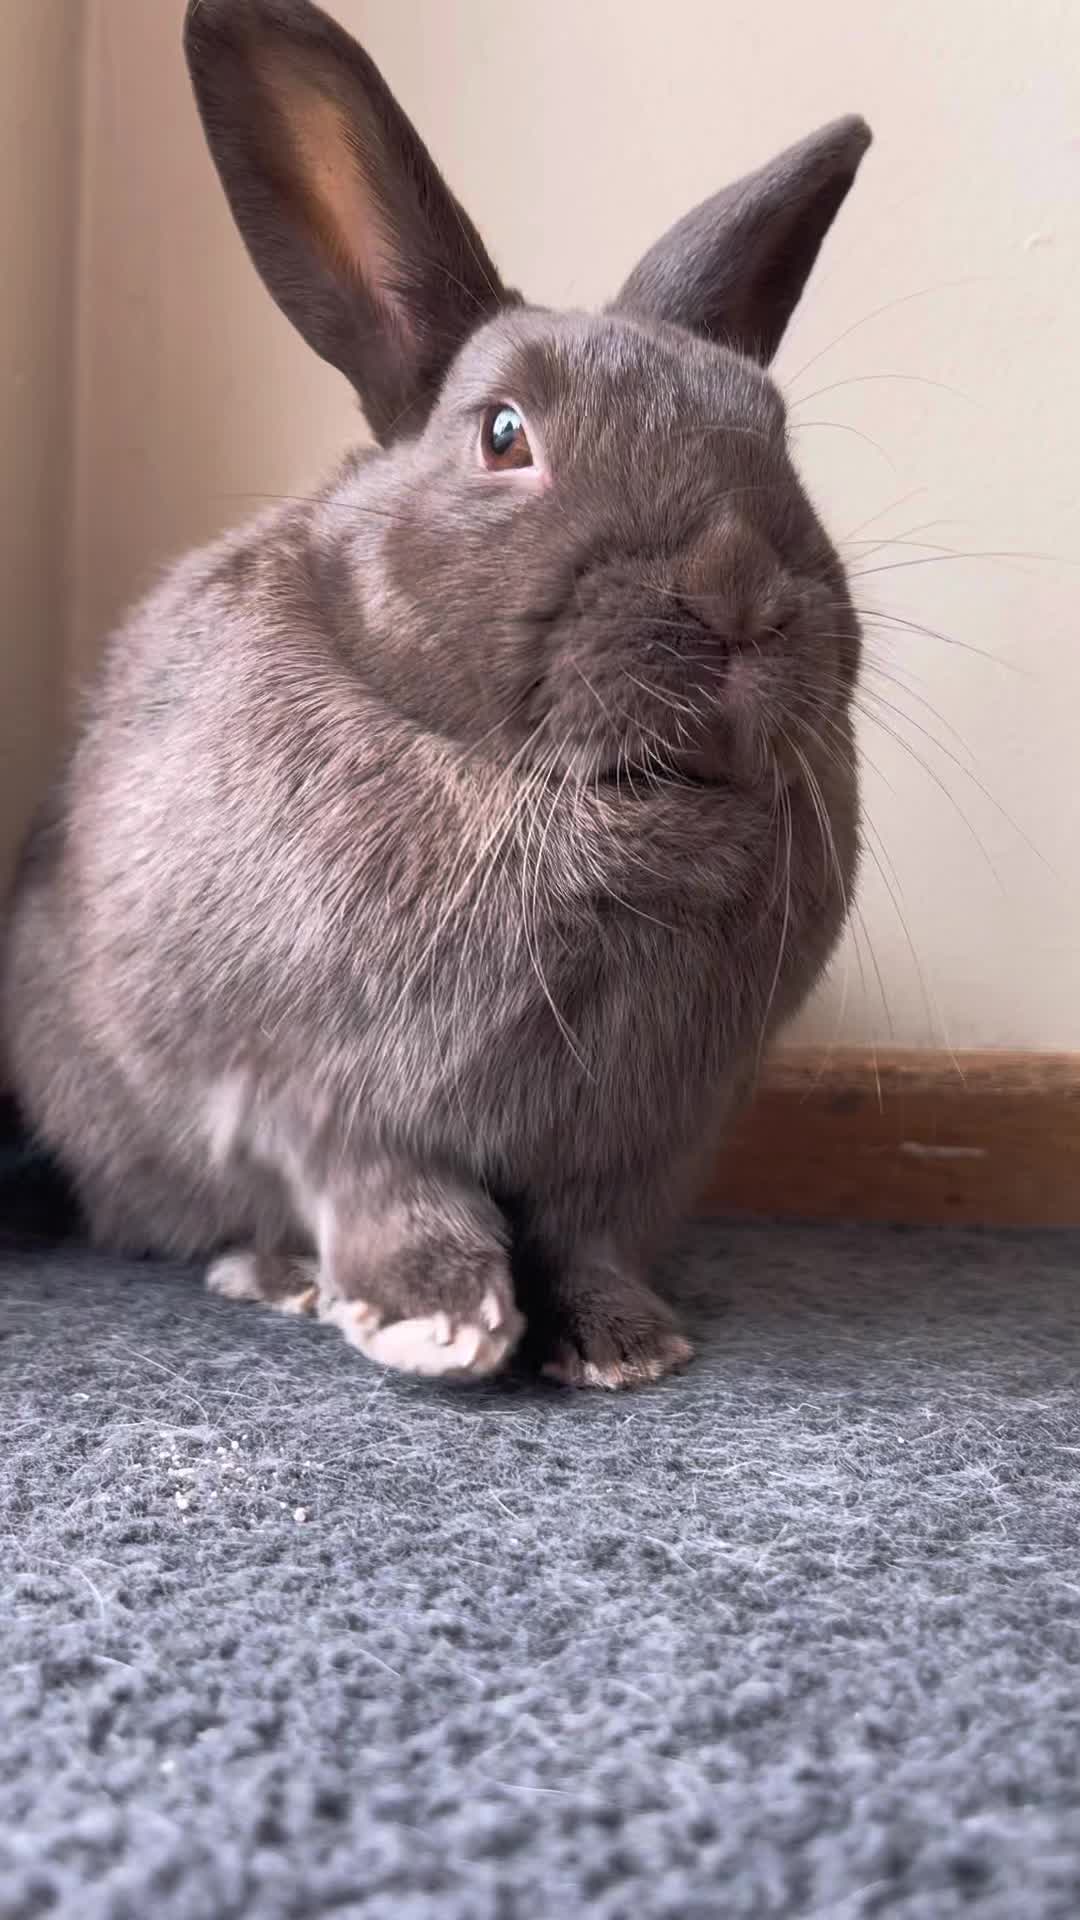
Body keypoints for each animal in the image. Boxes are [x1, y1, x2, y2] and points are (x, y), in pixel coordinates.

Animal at [1, 0, 870, 1388]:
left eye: (773, 431)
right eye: (505, 435)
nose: (736, 593)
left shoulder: (634, 1145)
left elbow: (584, 1239)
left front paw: (624, 1347)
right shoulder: (321, 1100)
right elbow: (396, 1200)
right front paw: (440, 1321)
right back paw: (281, 1277)